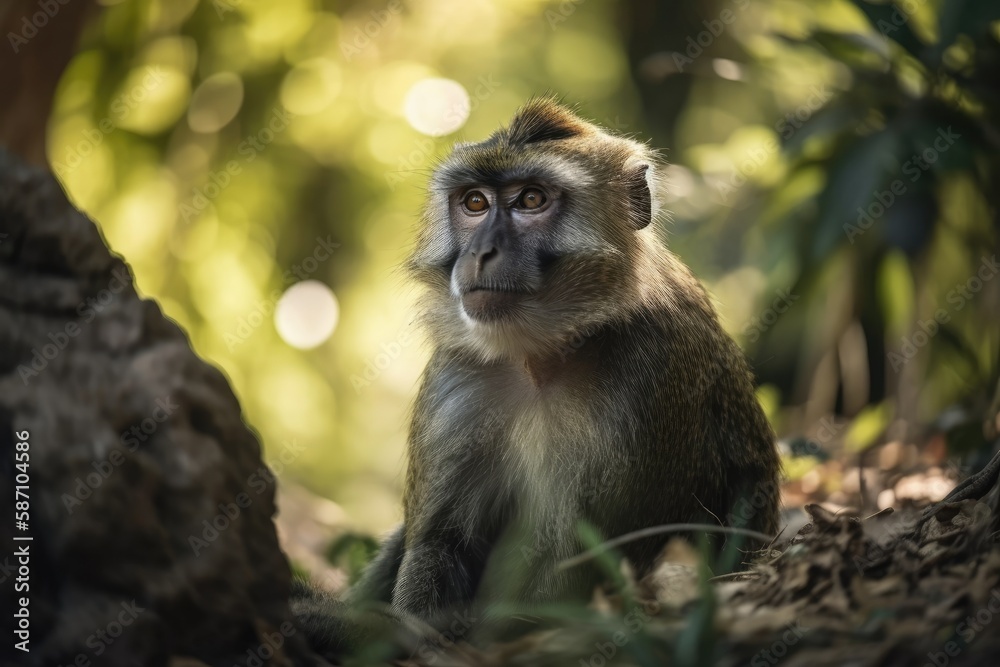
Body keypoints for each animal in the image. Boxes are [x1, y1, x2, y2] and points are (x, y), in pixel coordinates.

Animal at [292, 98, 784, 656]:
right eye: (475, 203)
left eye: (531, 199)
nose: (481, 252)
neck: (543, 356)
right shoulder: (458, 374)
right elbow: (439, 542)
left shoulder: (654, 376)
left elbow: (578, 565)